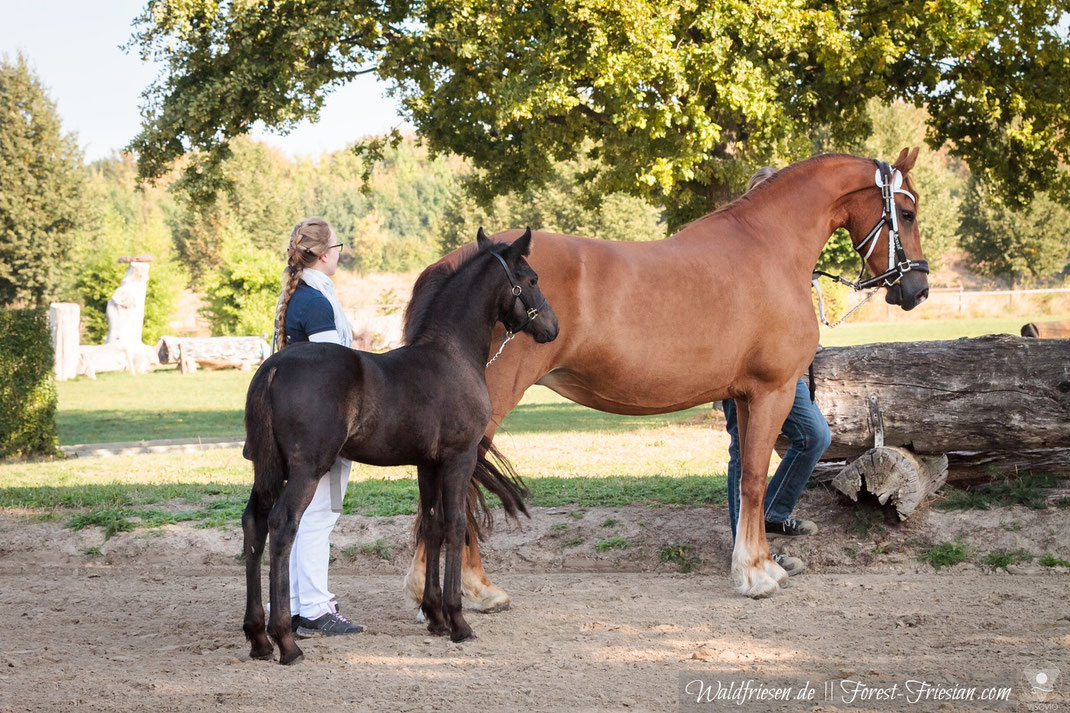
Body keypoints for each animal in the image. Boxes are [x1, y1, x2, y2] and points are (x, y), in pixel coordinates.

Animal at [241, 229, 556, 659]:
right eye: (532, 278)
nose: (553, 328)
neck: (451, 356)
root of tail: (273, 366)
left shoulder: (427, 463)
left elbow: (434, 526)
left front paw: (436, 617)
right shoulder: (458, 458)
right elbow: (456, 525)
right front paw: (458, 621)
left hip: (268, 469)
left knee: (254, 525)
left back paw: (258, 637)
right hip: (306, 469)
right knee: (283, 526)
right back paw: (286, 642)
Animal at [402, 148, 928, 599]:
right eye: (907, 213)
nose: (917, 288)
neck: (769, 247)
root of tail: (450, 264)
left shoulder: (744, 397)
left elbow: (745, 480)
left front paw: (760, 563)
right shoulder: (772, 392)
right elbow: (755, 480)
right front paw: (756, 574)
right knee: (460, 485)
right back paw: (478, 588)